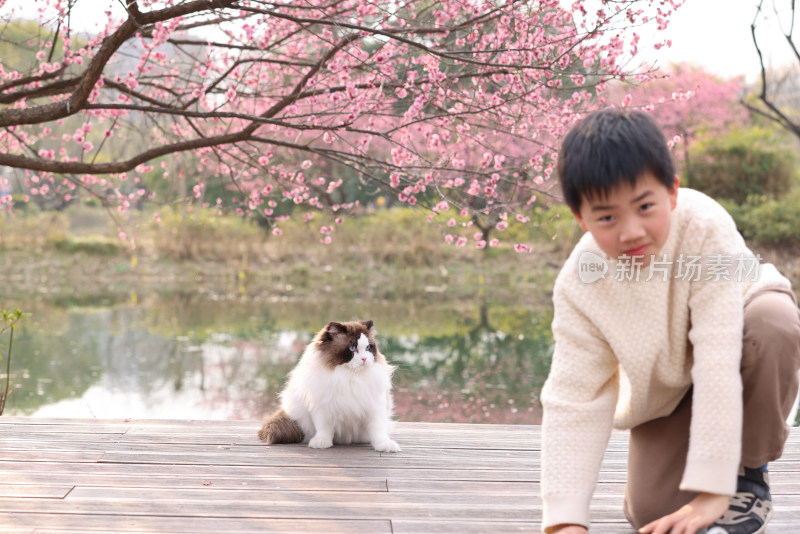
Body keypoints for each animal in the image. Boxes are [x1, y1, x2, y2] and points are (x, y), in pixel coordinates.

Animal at [258, 320, 400, 454]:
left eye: (368, 347)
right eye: (352, 348)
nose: (364, 359)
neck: (349, 377)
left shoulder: (375, 406)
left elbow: (378, 430)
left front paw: (384, 445)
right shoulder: (322, 407)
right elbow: (324, 428)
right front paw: (322, 442)